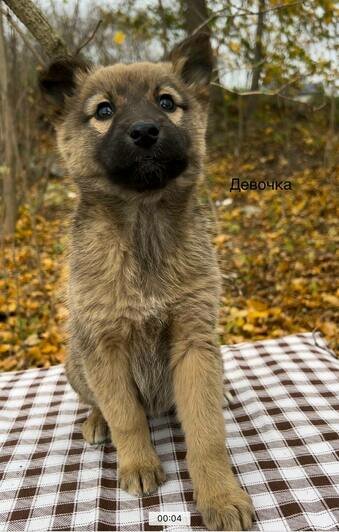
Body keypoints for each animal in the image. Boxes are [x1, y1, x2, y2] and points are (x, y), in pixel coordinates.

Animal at [40, 34, 255, 532]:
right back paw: (96, 422)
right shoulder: (105, 343)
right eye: (103, 110)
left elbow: (207, 433)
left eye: (167, 102)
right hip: (77, 360)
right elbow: (126, 415)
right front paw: (138, 464)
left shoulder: (194, 341)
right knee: (100, 403)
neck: (143, 227)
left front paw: (220, 495)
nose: (144, 132)